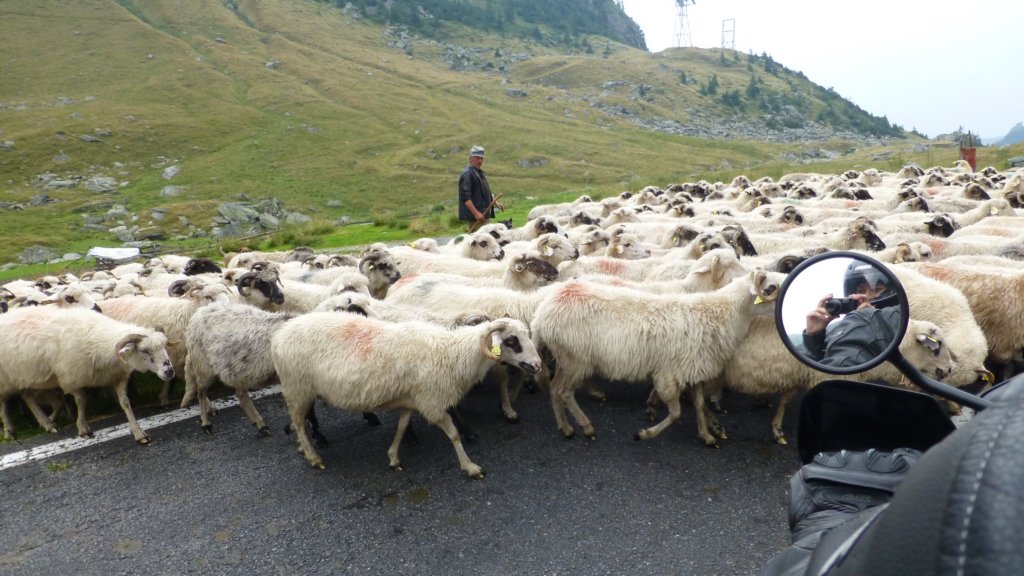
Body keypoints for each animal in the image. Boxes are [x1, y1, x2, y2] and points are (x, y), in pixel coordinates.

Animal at [272, 313, 544, 475]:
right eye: (511, 341)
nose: (538, 365)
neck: (451, 354)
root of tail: (279, 335)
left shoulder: (411, 400)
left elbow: (402, 427)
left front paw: (393, 457)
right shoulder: (432, 402)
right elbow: (454, 435)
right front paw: (470, 466)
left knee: (300, 422)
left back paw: (303, 448)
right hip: (297, 387)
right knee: (298, 422)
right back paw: (313, 457)